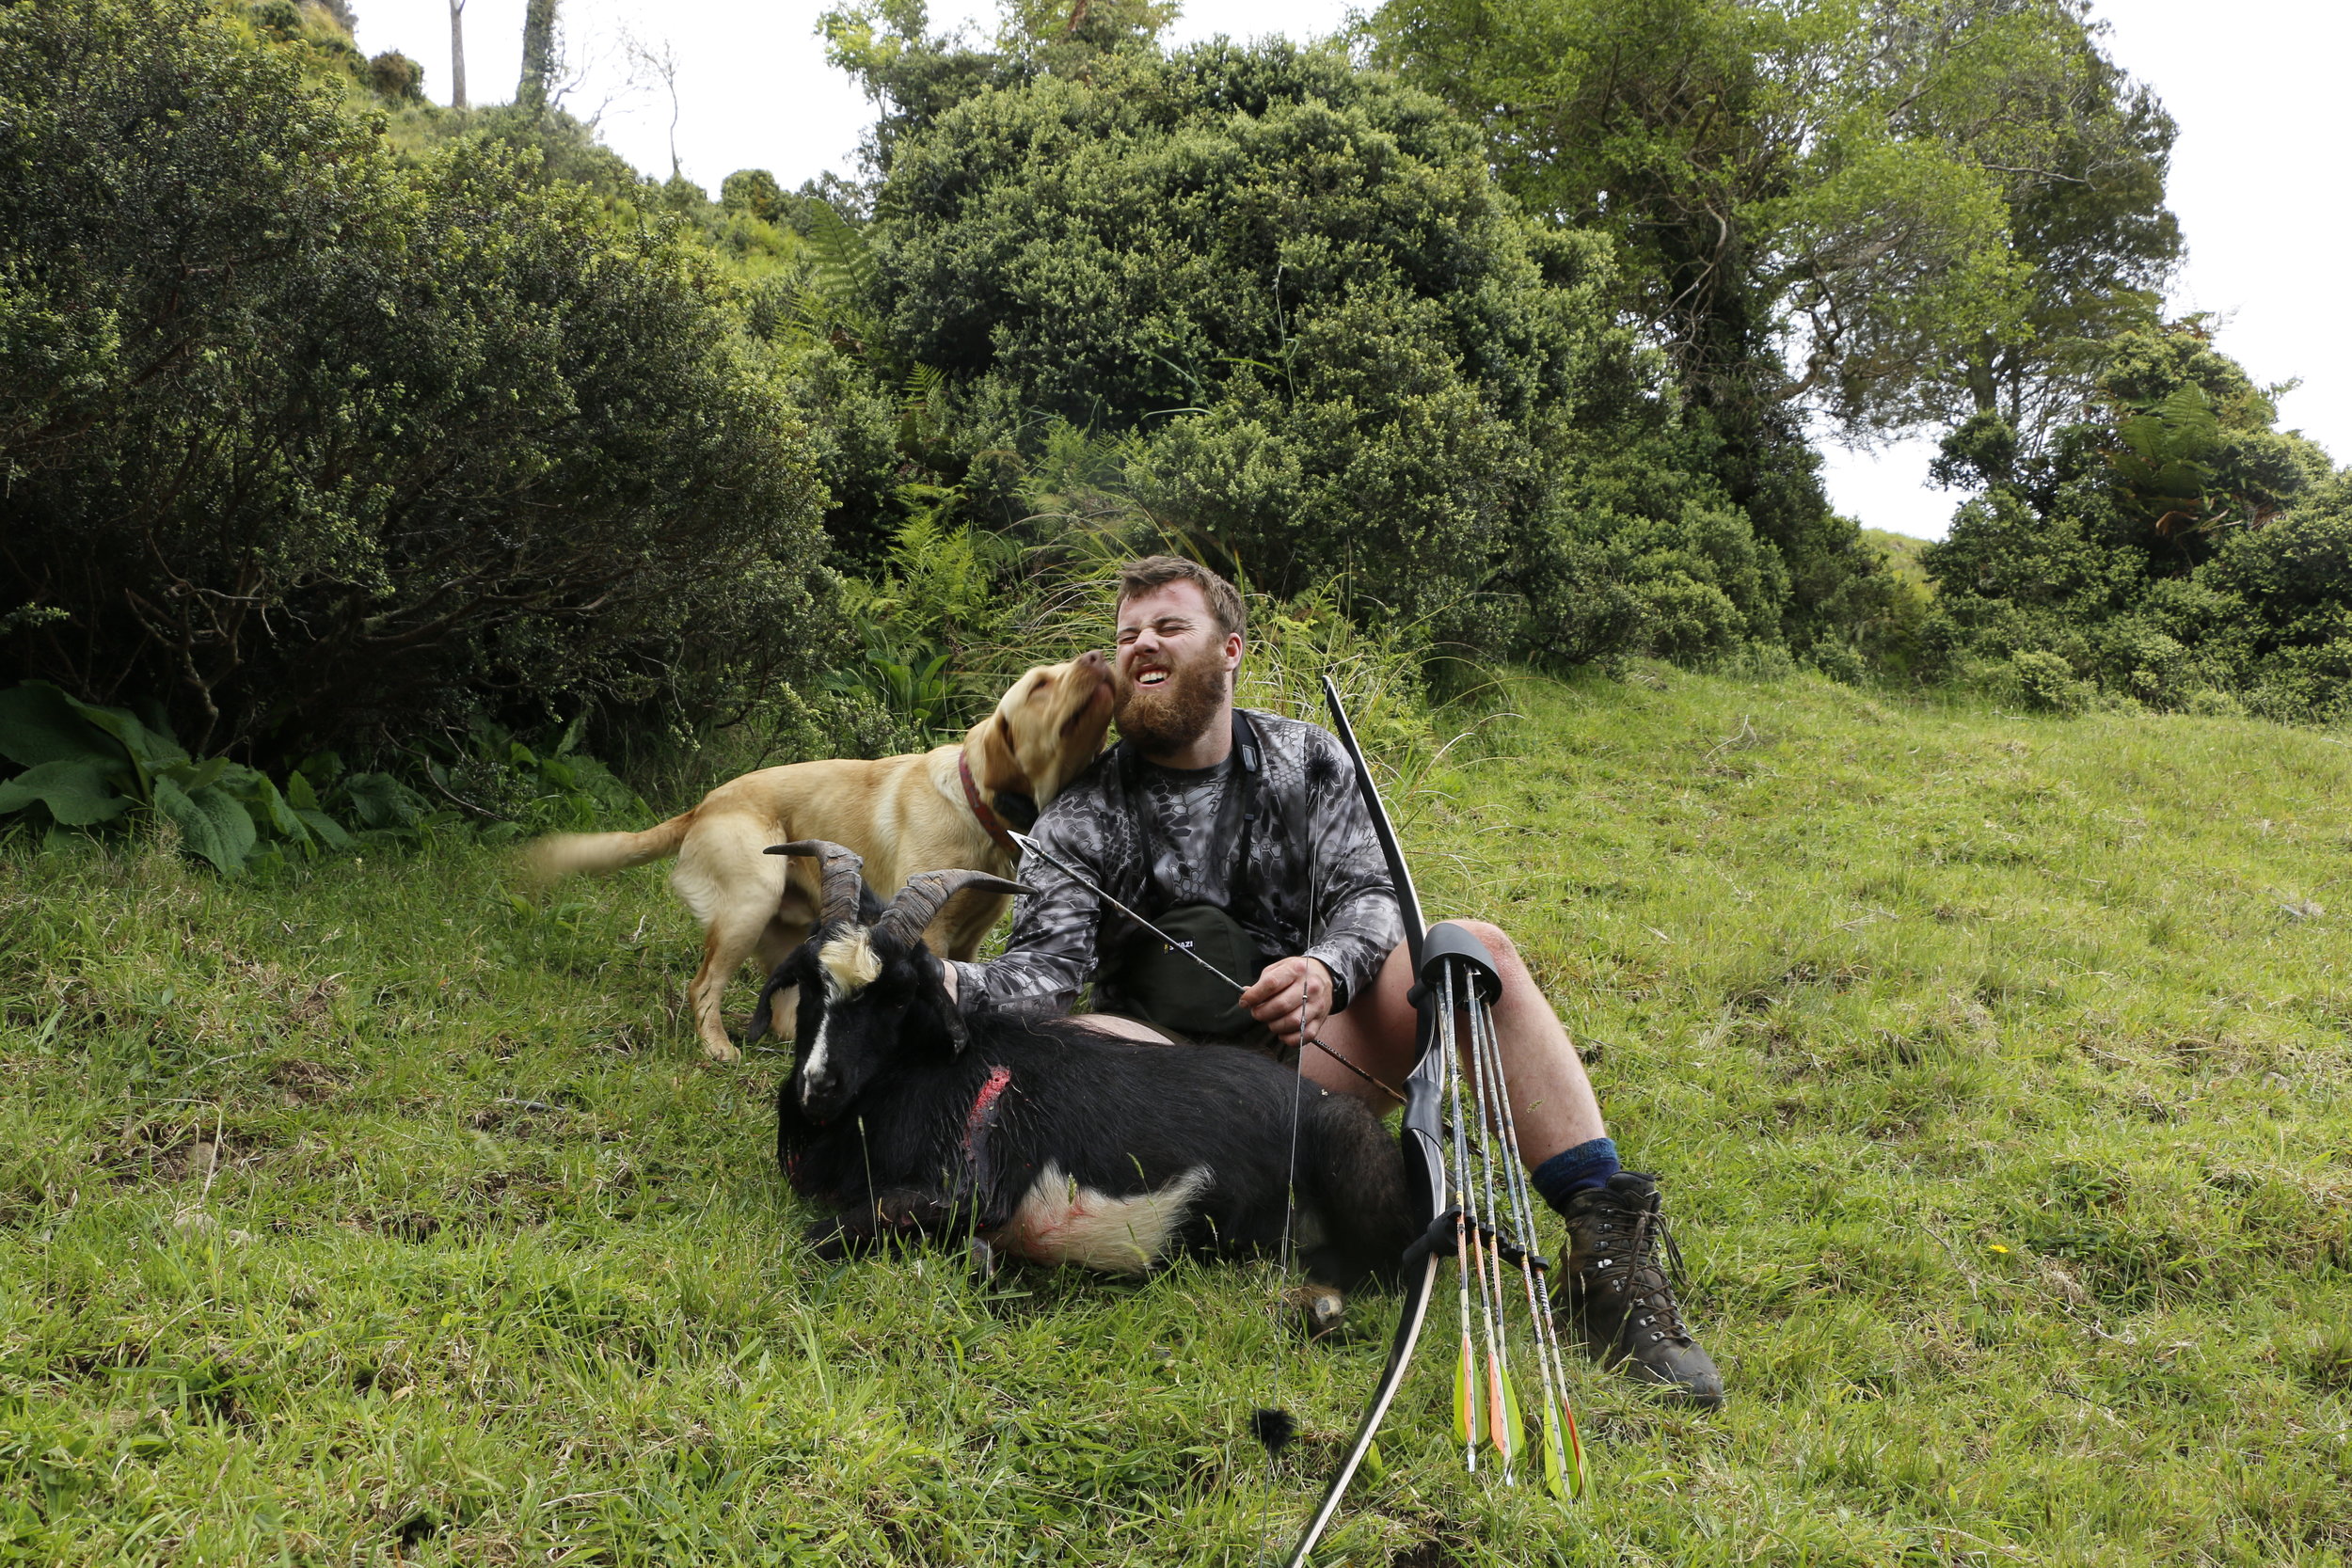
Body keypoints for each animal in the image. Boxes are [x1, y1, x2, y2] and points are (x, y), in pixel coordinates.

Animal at [532, 657, 1110, 1062]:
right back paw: (718, 1046)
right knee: (703, 986)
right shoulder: (933, 937)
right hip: (749, 903)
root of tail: (704, 804)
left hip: (790, 934)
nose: (1099, 657)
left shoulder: (966, 944)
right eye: (1039, 686)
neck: (973, 806)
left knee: (786, 1016)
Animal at [753, 841, 1411, 1307]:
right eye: (809, 981)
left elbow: (819, 1236)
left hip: (1348, 1146)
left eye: (896, 996)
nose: (819, 1086)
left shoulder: (965, 1191)